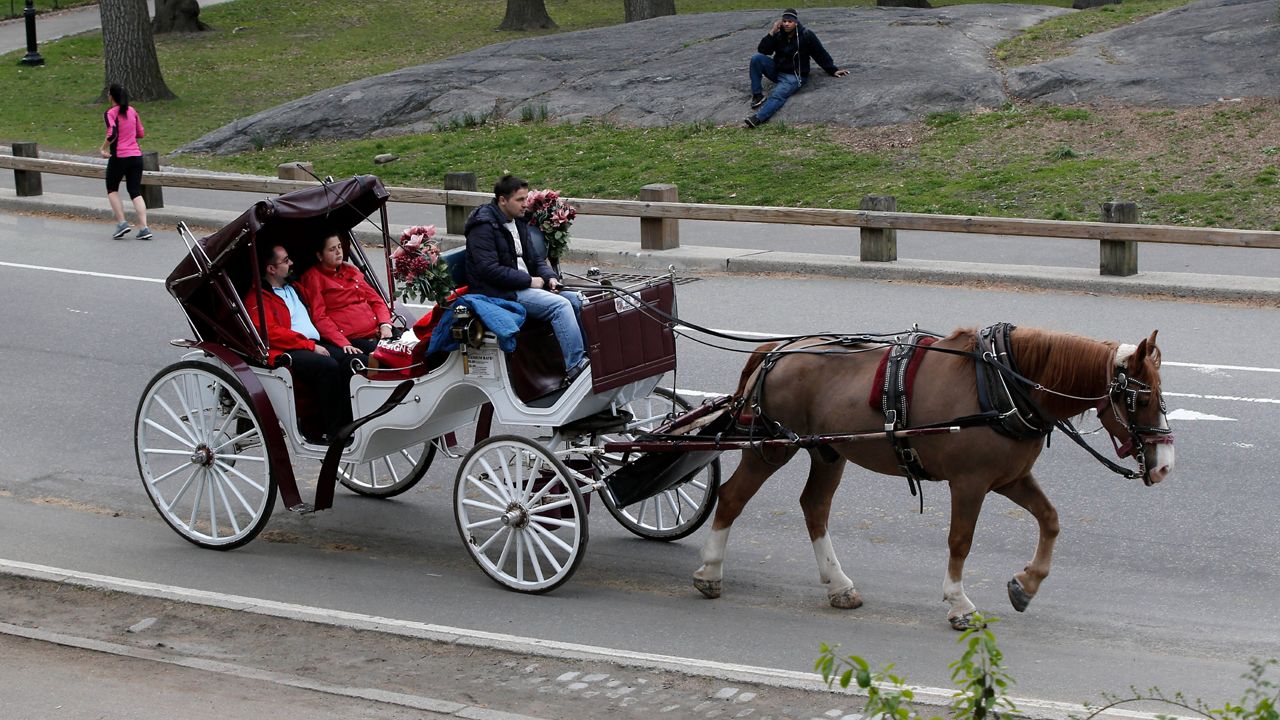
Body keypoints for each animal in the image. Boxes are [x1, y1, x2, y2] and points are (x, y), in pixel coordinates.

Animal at [696, 325, 1172, 627]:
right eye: (1143, 398)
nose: (1166, 464)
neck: (1001, 383)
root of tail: (776, 351)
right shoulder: (970, 483)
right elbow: (960, 541)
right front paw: (959, 603)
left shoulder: (1010, 478)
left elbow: (1050, 520)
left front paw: (1026, 584)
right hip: (773, 448)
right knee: (732, 497)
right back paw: (710, 571)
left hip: (827, 451)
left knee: (815, 508)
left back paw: (839, 585)